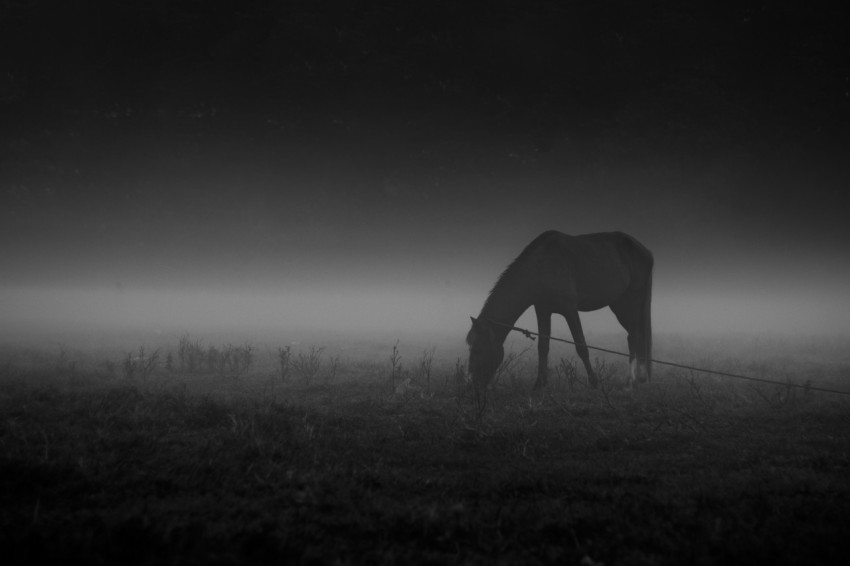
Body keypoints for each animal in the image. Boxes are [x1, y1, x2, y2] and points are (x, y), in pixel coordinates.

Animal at [468, 231, 652, 390]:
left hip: (632, 301)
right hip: (619, 305)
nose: (473, 383)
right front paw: (539, 384)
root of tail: (645, 251)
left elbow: (581, 346)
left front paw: (594, 382)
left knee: (635, 335)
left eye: (477, 349)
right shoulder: (543, 310)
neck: (540, 266)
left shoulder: (570, 310)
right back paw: (637, 379)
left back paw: (632, 381)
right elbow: (543, 346)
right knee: (633, 335)